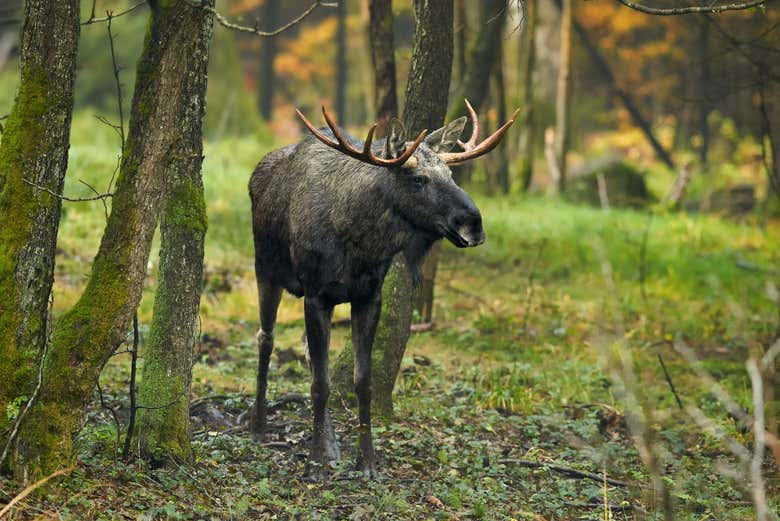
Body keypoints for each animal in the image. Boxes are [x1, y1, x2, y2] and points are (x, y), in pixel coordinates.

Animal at [248, 99, 516, 478]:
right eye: (418, 179)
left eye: (451, 175)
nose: (473, 224)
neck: (359, 242)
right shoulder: (316, 294)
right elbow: (320, 385)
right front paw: (315, 462)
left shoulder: (368, 296)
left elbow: (363, 382)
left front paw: (367, 462)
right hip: (265, 269)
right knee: (266, 339)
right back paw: (258, 424)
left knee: (306, 352)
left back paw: (330, 442)